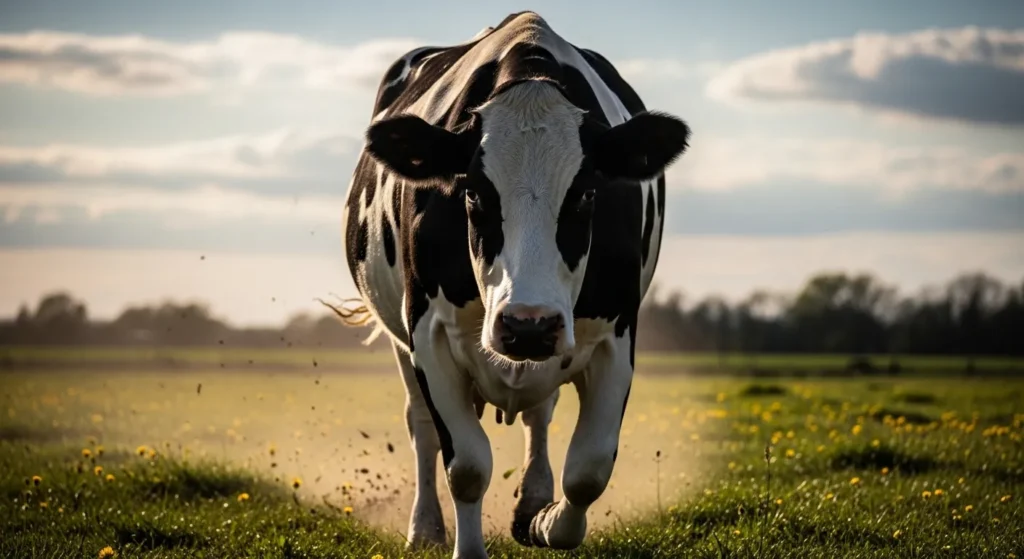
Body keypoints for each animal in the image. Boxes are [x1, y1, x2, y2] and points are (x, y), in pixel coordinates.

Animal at [339, 11, 690, 559]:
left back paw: (532, 501)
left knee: (539, 417)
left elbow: (588, 470)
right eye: (474, 192)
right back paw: (425, 528)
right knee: (422, 428)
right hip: (400, 340)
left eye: (586, 192)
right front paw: (467, 547)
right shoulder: (427, 334)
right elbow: (466, 466)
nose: (528, 325)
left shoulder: (616, 334)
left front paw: (545, 522)